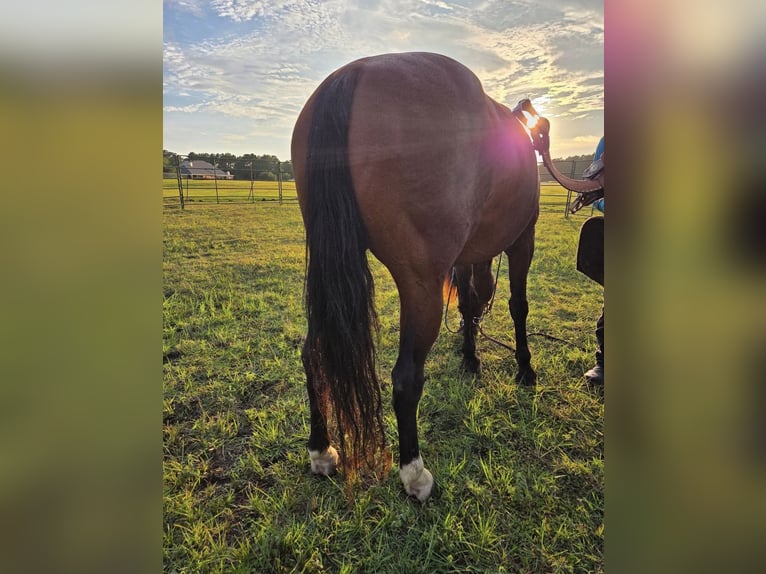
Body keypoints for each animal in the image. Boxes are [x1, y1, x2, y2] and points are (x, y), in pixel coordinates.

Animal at [291, 52, 540, 502]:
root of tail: (354, 73)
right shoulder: (521, 240)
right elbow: (517, 306)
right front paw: (524, 367)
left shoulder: (467, 254)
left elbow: (470, 299)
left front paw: (470, 356)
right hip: (419, 283)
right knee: (406, 377)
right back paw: (414, 474)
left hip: (330, 273)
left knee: (312, 354)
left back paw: (321, 450)